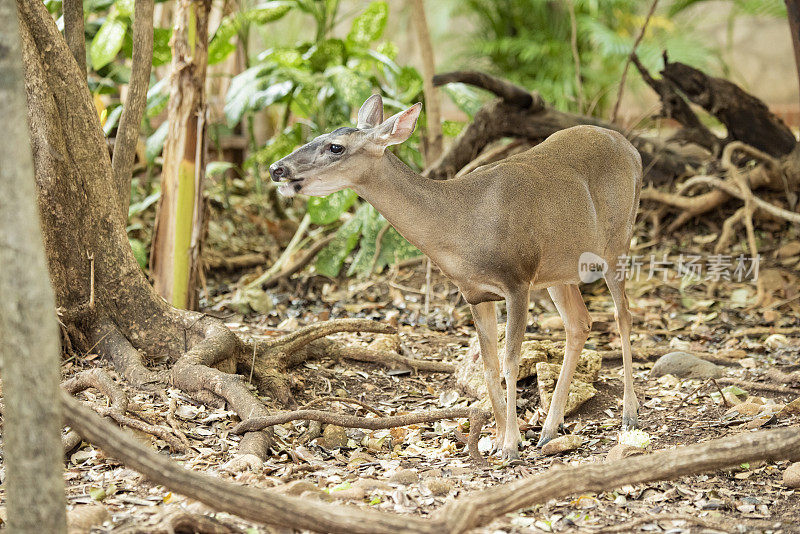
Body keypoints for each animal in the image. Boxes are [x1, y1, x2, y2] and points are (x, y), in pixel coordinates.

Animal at [268, 95, 644, 460]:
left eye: (336, 147)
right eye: (317, 135)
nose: (276, 168)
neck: (462, 226)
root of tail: (632, 148)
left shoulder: (517, 280)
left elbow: (509, 362)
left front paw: (511, 445)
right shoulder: (475, 293)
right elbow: (488, 365)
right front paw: (498, 440)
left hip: (617, 242)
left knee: (623, 315)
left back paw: (629, 414)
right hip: (558, 269)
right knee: (580, 323)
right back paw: (550, 429)